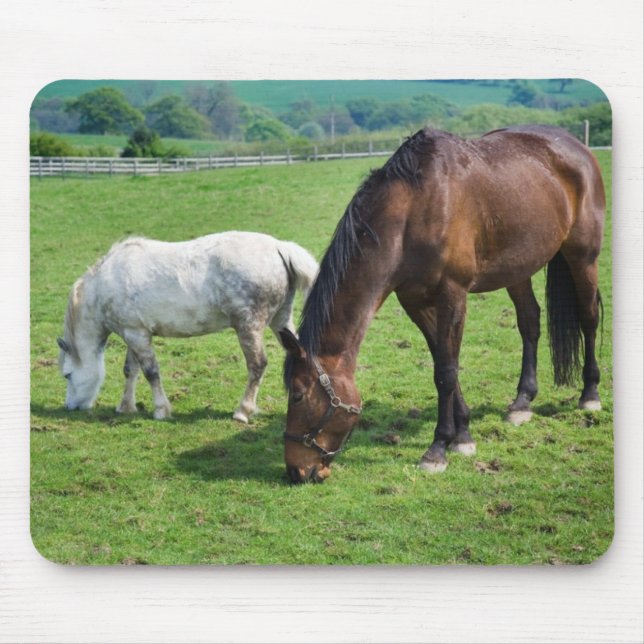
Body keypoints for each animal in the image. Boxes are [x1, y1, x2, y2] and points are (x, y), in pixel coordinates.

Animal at [57, 231, 318, 422]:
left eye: (67, 374)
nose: (71, 406)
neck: (106, 284)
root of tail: (279, 247)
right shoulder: (134, 333)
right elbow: (131, 370)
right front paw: (126, 406)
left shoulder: (137, 336)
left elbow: (151, 372)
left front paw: (161, 410)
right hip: (281, 321)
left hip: (248, 326)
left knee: (257, 365)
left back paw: (242, 411)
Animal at [281, 125, 605, 483]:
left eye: (297, 394)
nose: (296, 470)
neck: (413, 211)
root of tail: (576, 145)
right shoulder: (415, 301)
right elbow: (442, 360)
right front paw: (462, 435)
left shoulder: (453, 293)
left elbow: (446, 372)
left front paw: (437, 449)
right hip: (517, 268)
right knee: (529, 322)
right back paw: (522, 403)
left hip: (583, 256)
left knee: (588, 318)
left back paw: (590, 395)